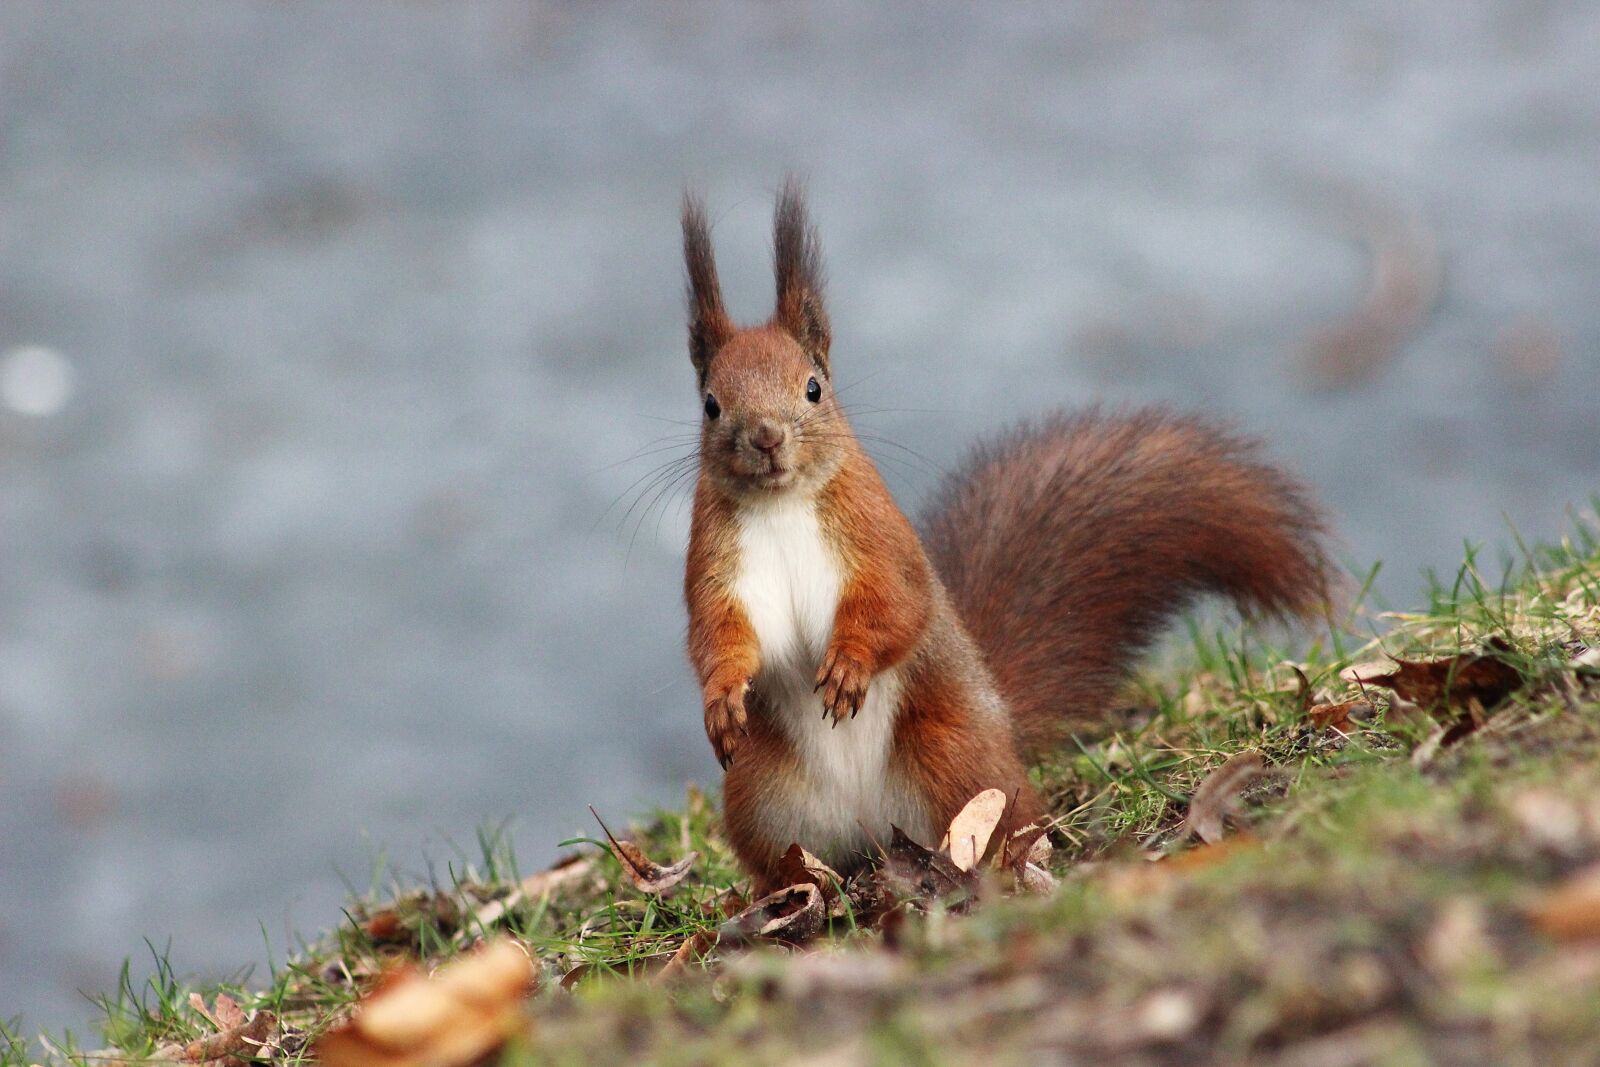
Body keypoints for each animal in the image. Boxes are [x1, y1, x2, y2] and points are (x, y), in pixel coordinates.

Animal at [679, 181, 1333, 892]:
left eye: (814, 388)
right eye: (711, 404)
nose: (766, 437)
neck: (783, 505)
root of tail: (874, 832)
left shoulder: (878, 538)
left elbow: (897, 605)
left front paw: (849, 663)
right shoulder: (717, 568)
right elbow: (718, 637)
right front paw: (721, 701)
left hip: (953, 757)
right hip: (764, 795)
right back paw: (799, 886)